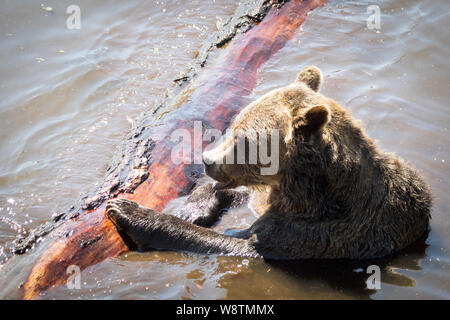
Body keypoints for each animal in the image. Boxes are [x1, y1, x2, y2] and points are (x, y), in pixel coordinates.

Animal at [106, 66, 432, 258]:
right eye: (234, 125)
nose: (207, 160)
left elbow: (235, 244)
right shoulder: (265, 196)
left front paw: (129, 212)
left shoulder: (315, 233)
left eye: (242, 141)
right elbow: (239, 194)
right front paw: (192, 210)